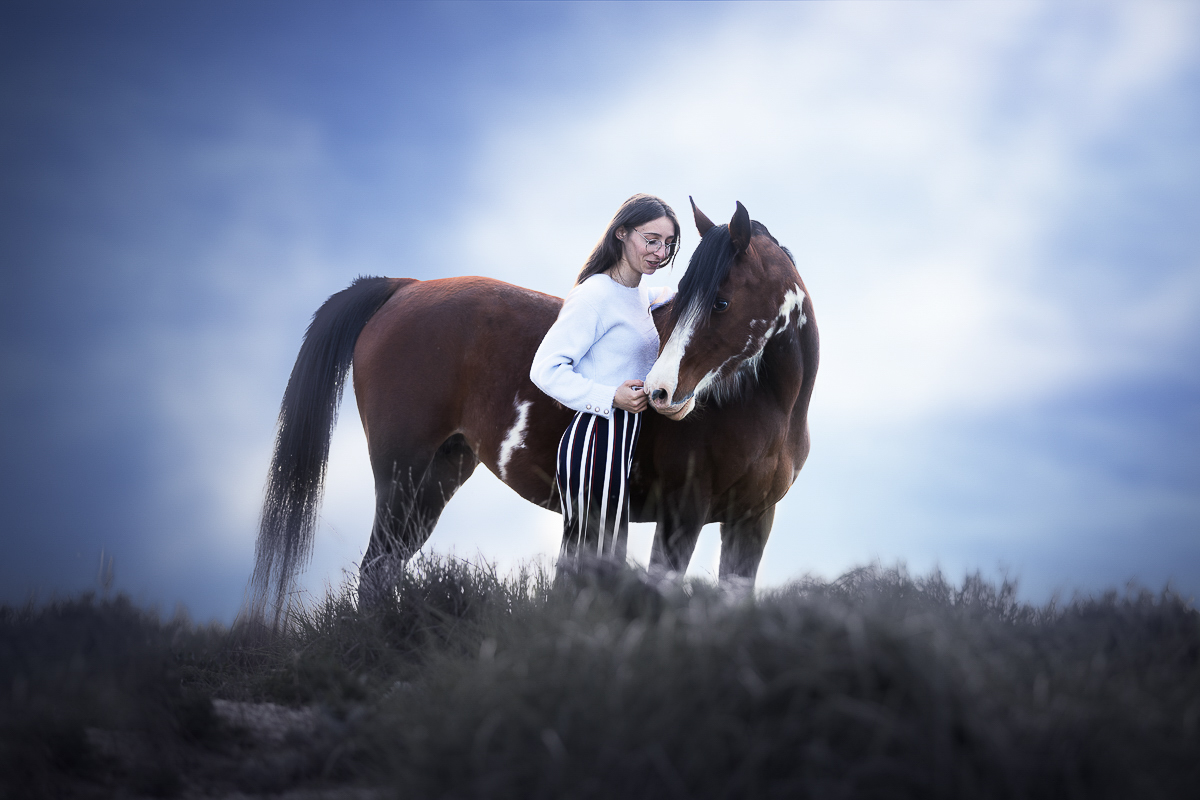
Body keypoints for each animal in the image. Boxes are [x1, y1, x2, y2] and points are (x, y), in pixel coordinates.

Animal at [250, 199, 818, 619]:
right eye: (687, 296)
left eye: (720, 301)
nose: (660, 392)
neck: (767, 408)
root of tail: (402, 289)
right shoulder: (683, 513)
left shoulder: (751, 521)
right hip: (400, 473)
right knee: (375, 568)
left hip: (436, 477)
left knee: (386, 566)